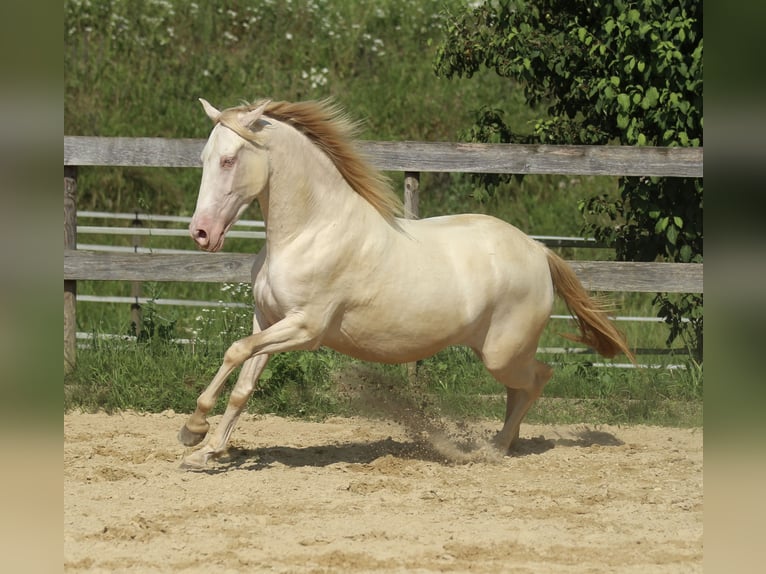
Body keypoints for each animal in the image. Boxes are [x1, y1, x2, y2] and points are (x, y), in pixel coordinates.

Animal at [180, 97, 636, 470]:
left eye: (229, 160)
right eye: (204, 157)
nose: (201, 233)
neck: (310, 232)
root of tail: (539, 251)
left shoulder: (305, 329)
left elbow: (235, 352)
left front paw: (193, 429)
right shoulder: (267, 320)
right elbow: (243, 383)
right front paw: (207, 450)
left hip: (503, 352)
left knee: (537, 379)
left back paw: (492, 449)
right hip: (497, 351)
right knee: (519, 390)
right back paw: (506, 444)